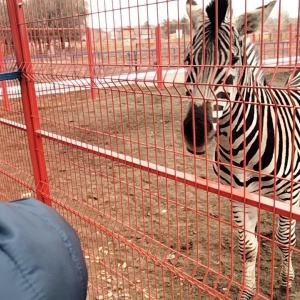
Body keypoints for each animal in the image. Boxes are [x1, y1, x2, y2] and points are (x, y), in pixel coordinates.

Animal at [182, 0, 300, 298]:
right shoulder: (237, 194)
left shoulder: (287, 193)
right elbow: (247, 247)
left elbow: (285, 239)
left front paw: (286, 282)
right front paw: (247, 292)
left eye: (235, 61)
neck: (240, 148)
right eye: (188, 60)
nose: (195, 135)